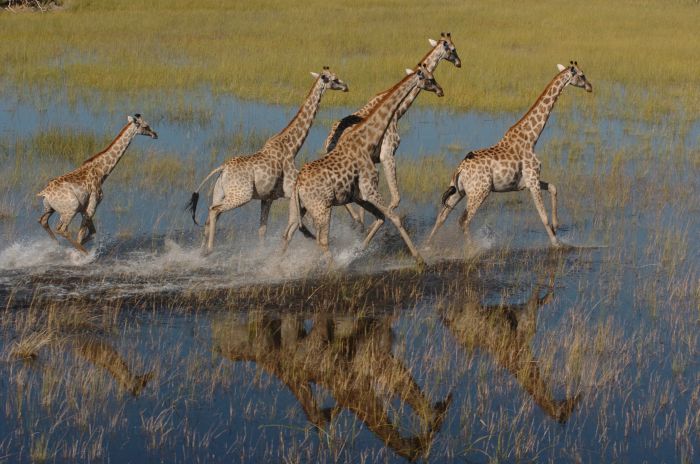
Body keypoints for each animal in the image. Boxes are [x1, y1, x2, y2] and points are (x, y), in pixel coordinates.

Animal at [39, 115, 159, 254]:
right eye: (146, 126)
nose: (155, 134)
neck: (102, 172)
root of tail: (44, 193)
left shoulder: (84, 208)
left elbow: (92, 233)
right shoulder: (92, 205)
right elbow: (83, 235)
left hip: (50, 208)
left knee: (43, 221)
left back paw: (58, 245)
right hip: (71, 208)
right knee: (61, 229)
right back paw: (81, 253)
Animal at [187, 67, 348, 252]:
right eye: (334, 79)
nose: (346, 87)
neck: (292, 147)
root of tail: (223, 168)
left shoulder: (268, 198)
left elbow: (262, 230)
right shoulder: (290, 192)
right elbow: (299, 225)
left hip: (220, 193)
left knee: (209, 217)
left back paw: (201, 251)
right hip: (241, 195)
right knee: (214, 211)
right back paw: (209, 249)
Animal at [284, 65, 442, 268]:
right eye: (429, 79)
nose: (440, 90)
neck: (367, 141)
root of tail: (298, 185)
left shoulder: (358, 195)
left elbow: (381, 216)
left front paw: (359, 249)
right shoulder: (369, 189)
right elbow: (394, 217)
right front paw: (419, 259)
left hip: (298, 208)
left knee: (288, 233)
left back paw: (277, 266)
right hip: (322, 208)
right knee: (322, 239)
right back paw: (334, 268)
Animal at [326, 33, 462, 226]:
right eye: (452, 49)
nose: (459, 63)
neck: (398, 112)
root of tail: (329, 141)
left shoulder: (375, 161)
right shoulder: (386, 154)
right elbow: (393, 201)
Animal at [424, 63, 592, 248]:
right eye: (582, 75)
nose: (590, 87)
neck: (532, 137)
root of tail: (460, 170)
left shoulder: (527, 182)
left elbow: (554, 188)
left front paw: (557, 226)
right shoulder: (533, 180)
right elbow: (543, 216)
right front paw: (556, 243)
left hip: (458, 192)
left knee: (442, 216)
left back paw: (427, 246)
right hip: (480, 192)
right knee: (463, 220)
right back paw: (473, 249)